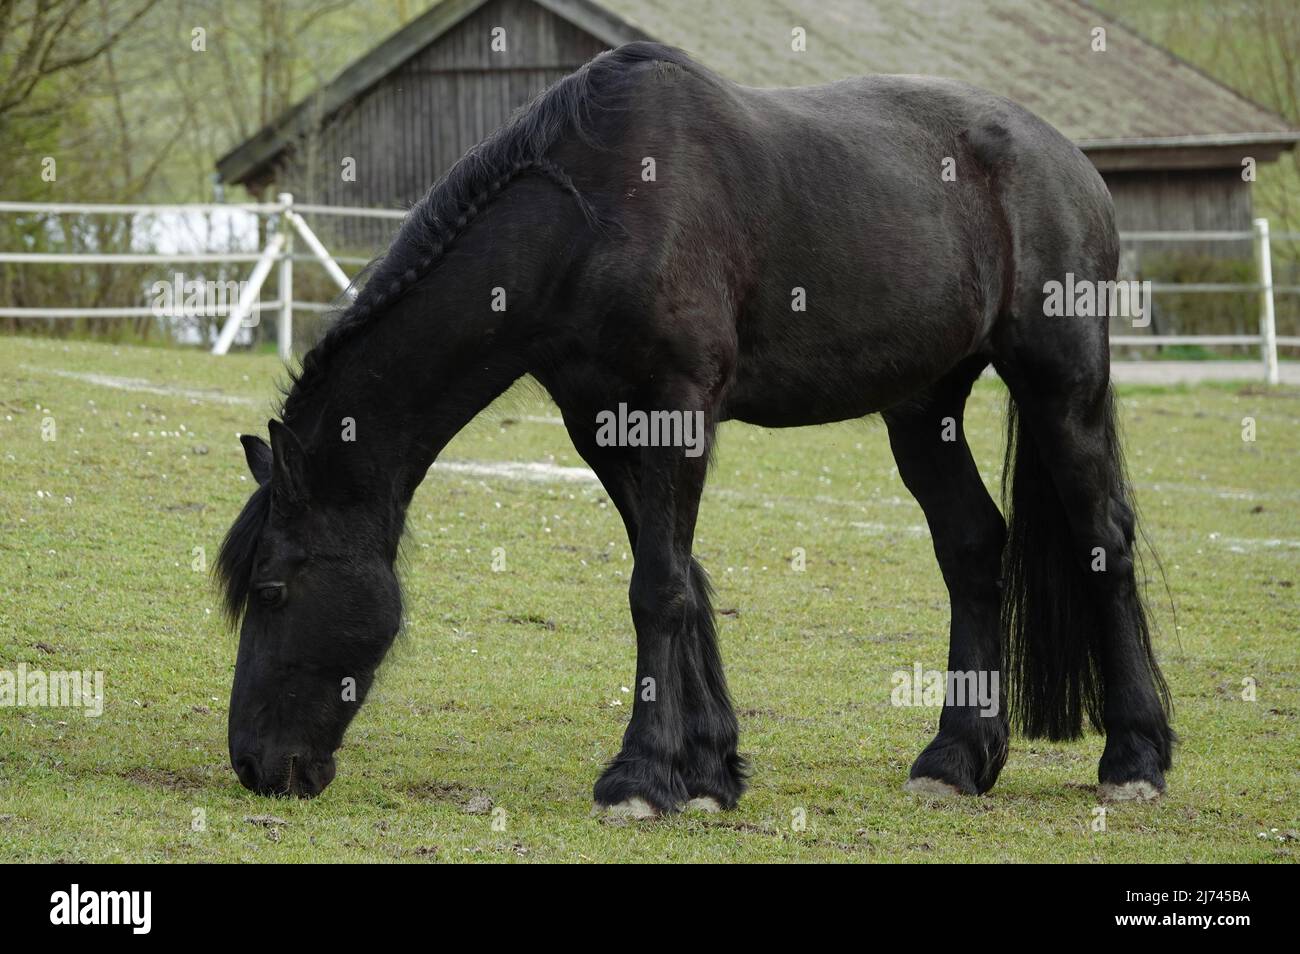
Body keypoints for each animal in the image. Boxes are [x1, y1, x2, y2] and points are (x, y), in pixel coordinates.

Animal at [218, 42, 1175, 816]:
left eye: (271, 589)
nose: (256, 765)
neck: (591, 217)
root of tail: (1070, 163)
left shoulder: (676, 410)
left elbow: (657, 588)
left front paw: (640, 779)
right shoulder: (603, 425)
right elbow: (681, 577)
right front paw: (709, 769)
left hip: (1061, 383)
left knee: (1104, 538)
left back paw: (1135, 759)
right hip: (924, 404)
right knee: (973, 547)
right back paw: (954, 760)